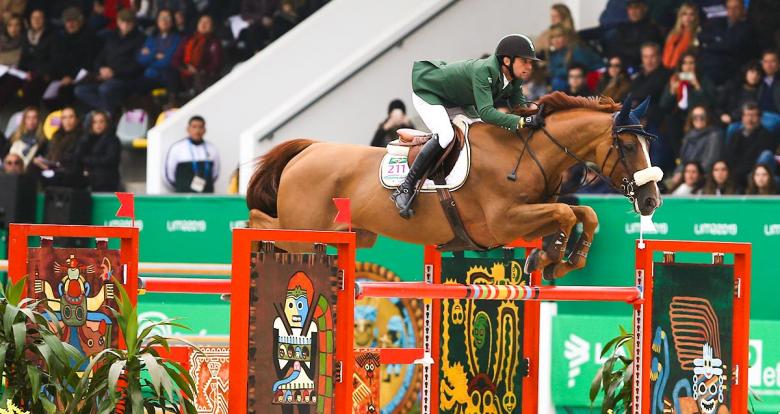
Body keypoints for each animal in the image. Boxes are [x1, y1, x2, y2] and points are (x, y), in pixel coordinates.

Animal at [247, 94, 660, 280]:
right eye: (627, 146)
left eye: (647, 144)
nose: (651, 200)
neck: (525, 154)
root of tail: (308, 150)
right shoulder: (504, 222)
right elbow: (564, 213)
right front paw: (548, 258)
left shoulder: (528, 218)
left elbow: (583, 213)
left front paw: (562, 260)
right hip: (303, 229)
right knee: (260, 221)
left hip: (355, 234)